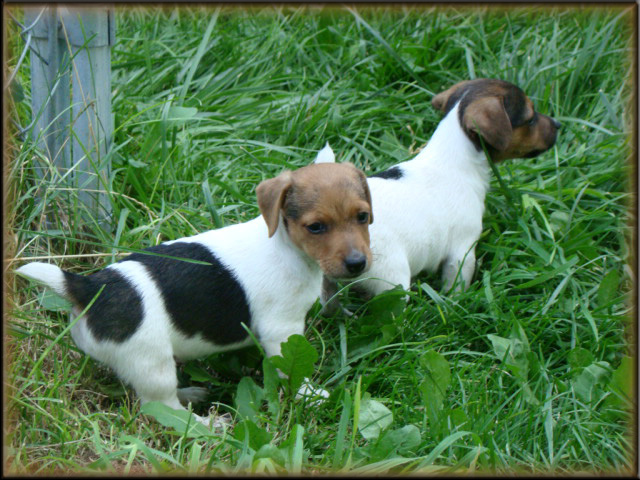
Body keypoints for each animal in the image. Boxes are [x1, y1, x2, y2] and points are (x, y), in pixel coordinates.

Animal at [16, 152, 376, 426]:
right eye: (315, 227)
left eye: (363, 216)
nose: (358, 264)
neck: (287, 247)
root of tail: (91, 287)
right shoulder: (281, 331)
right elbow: (291, 371)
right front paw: (311, 396)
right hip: (152, 361)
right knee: (159, 406)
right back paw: (207, 424)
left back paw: (190, 395)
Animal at [320, 79, 560, 312]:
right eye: (530, 119)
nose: (559, 125)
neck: (453, 157)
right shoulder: (462, 251)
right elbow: (456, 283)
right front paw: (456, 304)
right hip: (393, 278)